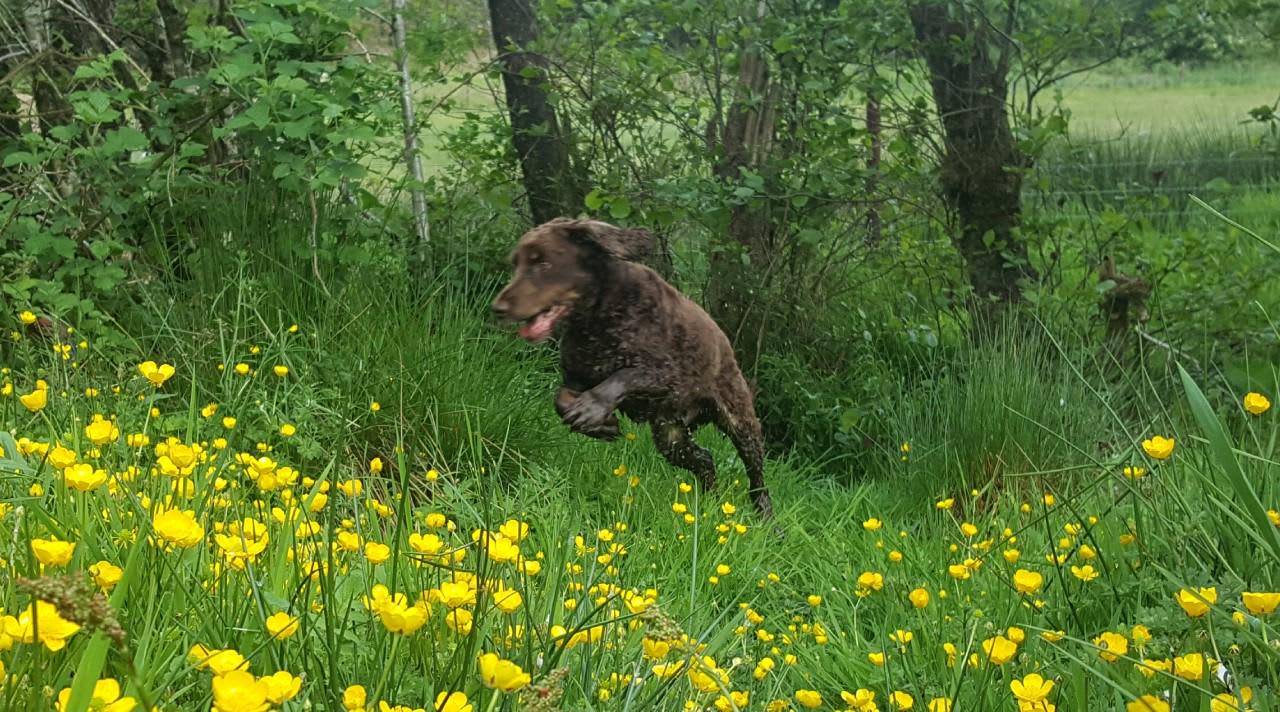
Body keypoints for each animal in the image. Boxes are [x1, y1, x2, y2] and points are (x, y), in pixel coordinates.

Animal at [494, 216, 773, 517]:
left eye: (543, 263)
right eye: (515, 263)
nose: (498, 308)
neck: (597, 317)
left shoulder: (665, 373)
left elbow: (623, 377)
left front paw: (592, 410)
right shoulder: (576, 377)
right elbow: (561, 400)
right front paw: (603, 425)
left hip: (739, 421)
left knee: (757, 478)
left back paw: (767, 519)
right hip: (671, 436)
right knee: (705, 459)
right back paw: (709, 502)